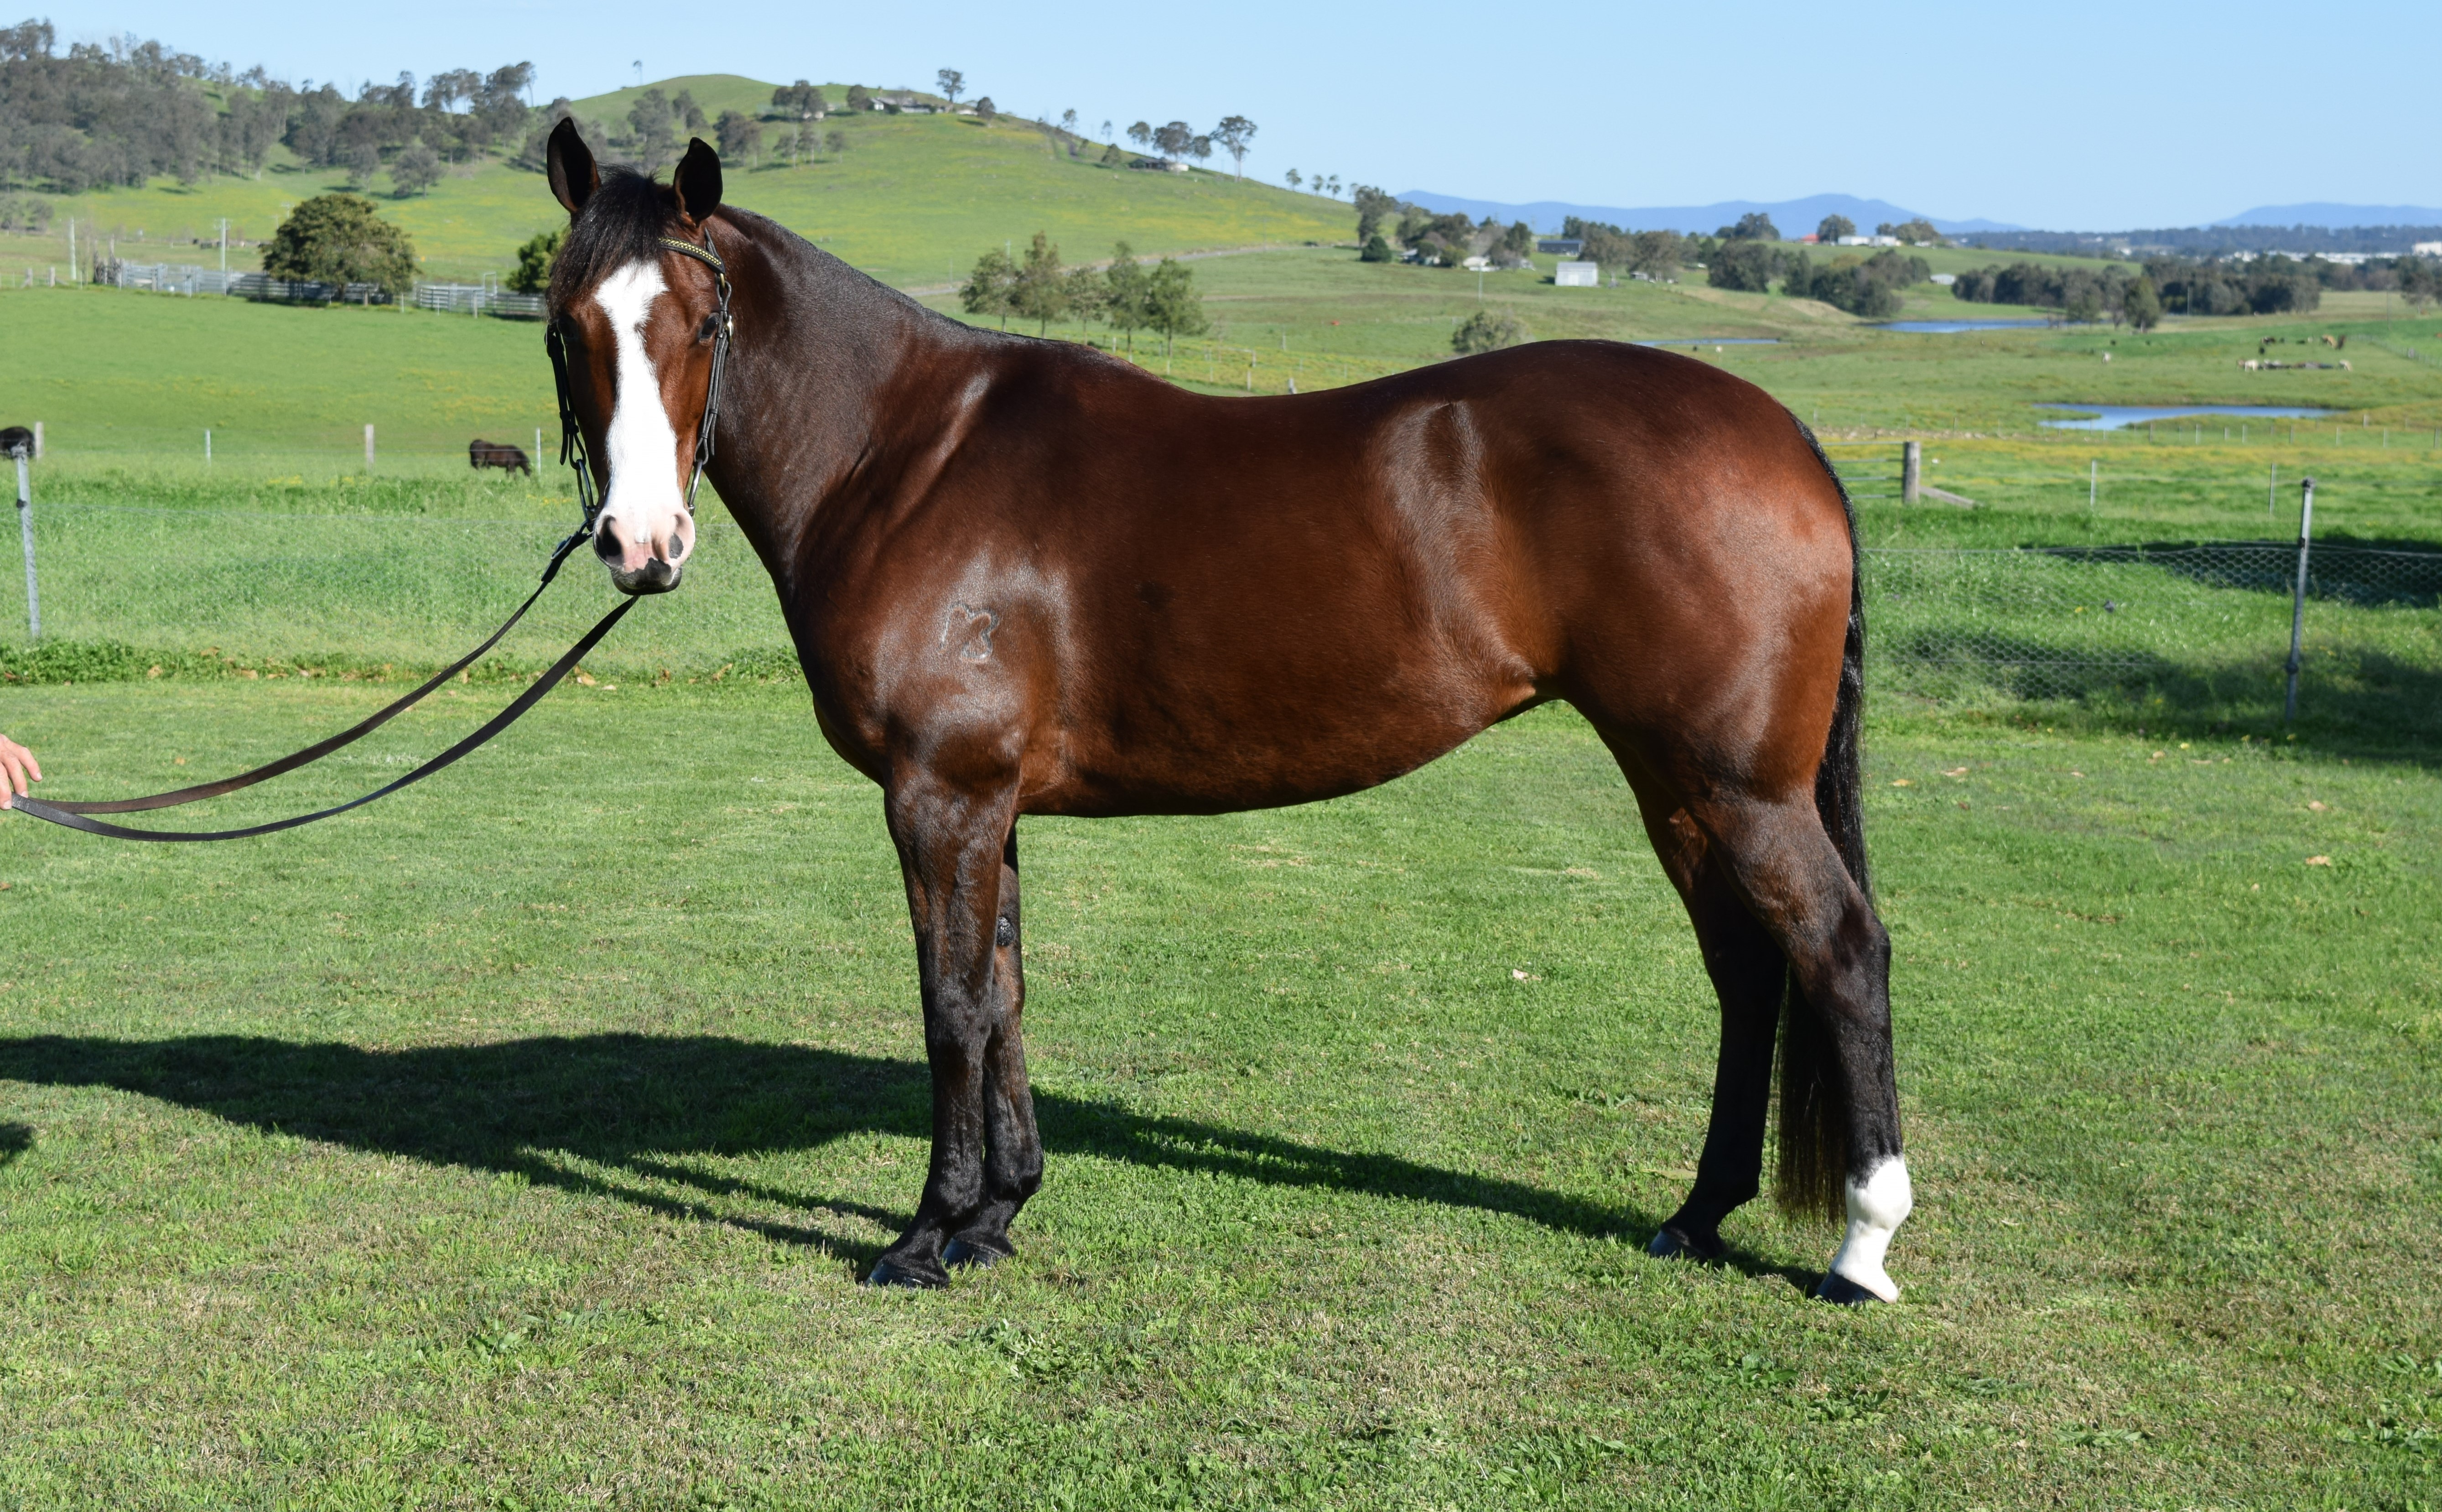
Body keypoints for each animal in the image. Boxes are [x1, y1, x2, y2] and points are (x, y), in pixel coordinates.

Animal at [468, 438, 533, 476]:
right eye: (530, 472)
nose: (530, 479)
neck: (515, 454)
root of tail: (475, 442)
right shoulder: (512, 467)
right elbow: (515, 476)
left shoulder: (508, 467)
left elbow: (508, 475)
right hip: (479, 461)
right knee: (478, 468)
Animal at [539, 121, 1911, 1300]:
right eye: (564, 327)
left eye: (703, 321)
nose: (641, 545)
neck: (904, 459)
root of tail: (1781, 433)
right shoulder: (991, 803)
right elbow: (1005, 992)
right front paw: (997, 1214)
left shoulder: (940, 795)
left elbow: (952, 1009)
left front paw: (926, 1236)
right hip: (1672, 778)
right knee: (1746, 968)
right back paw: (1696, 1214)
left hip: (1739, 785)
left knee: (1839, 951)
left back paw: (1860, 1244)